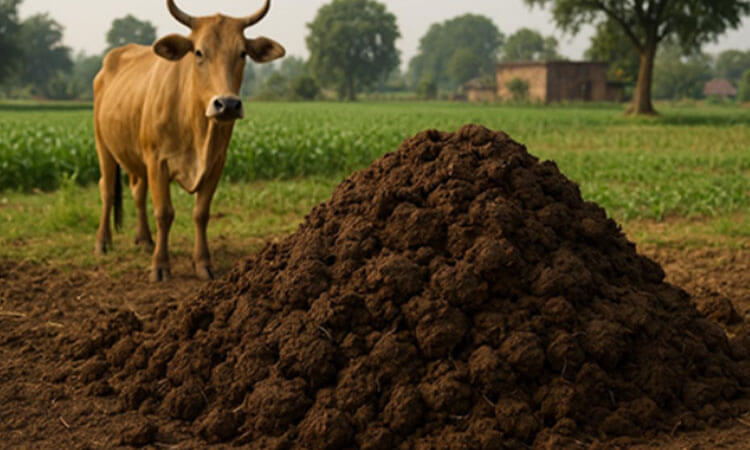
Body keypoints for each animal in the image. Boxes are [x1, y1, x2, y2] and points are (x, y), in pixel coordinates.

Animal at [93, 0, 285, 282]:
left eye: (242, 53)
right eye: (198, 52)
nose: (227, 104)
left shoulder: (216, 164)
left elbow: (201, 213)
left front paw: (203, 263)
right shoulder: (157, 161)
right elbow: (164, 213)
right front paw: (160, 266)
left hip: (135, 156)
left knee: (138, 191)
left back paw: (145, 239)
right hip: (103, 145)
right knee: (107, 189)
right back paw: (102, 243)